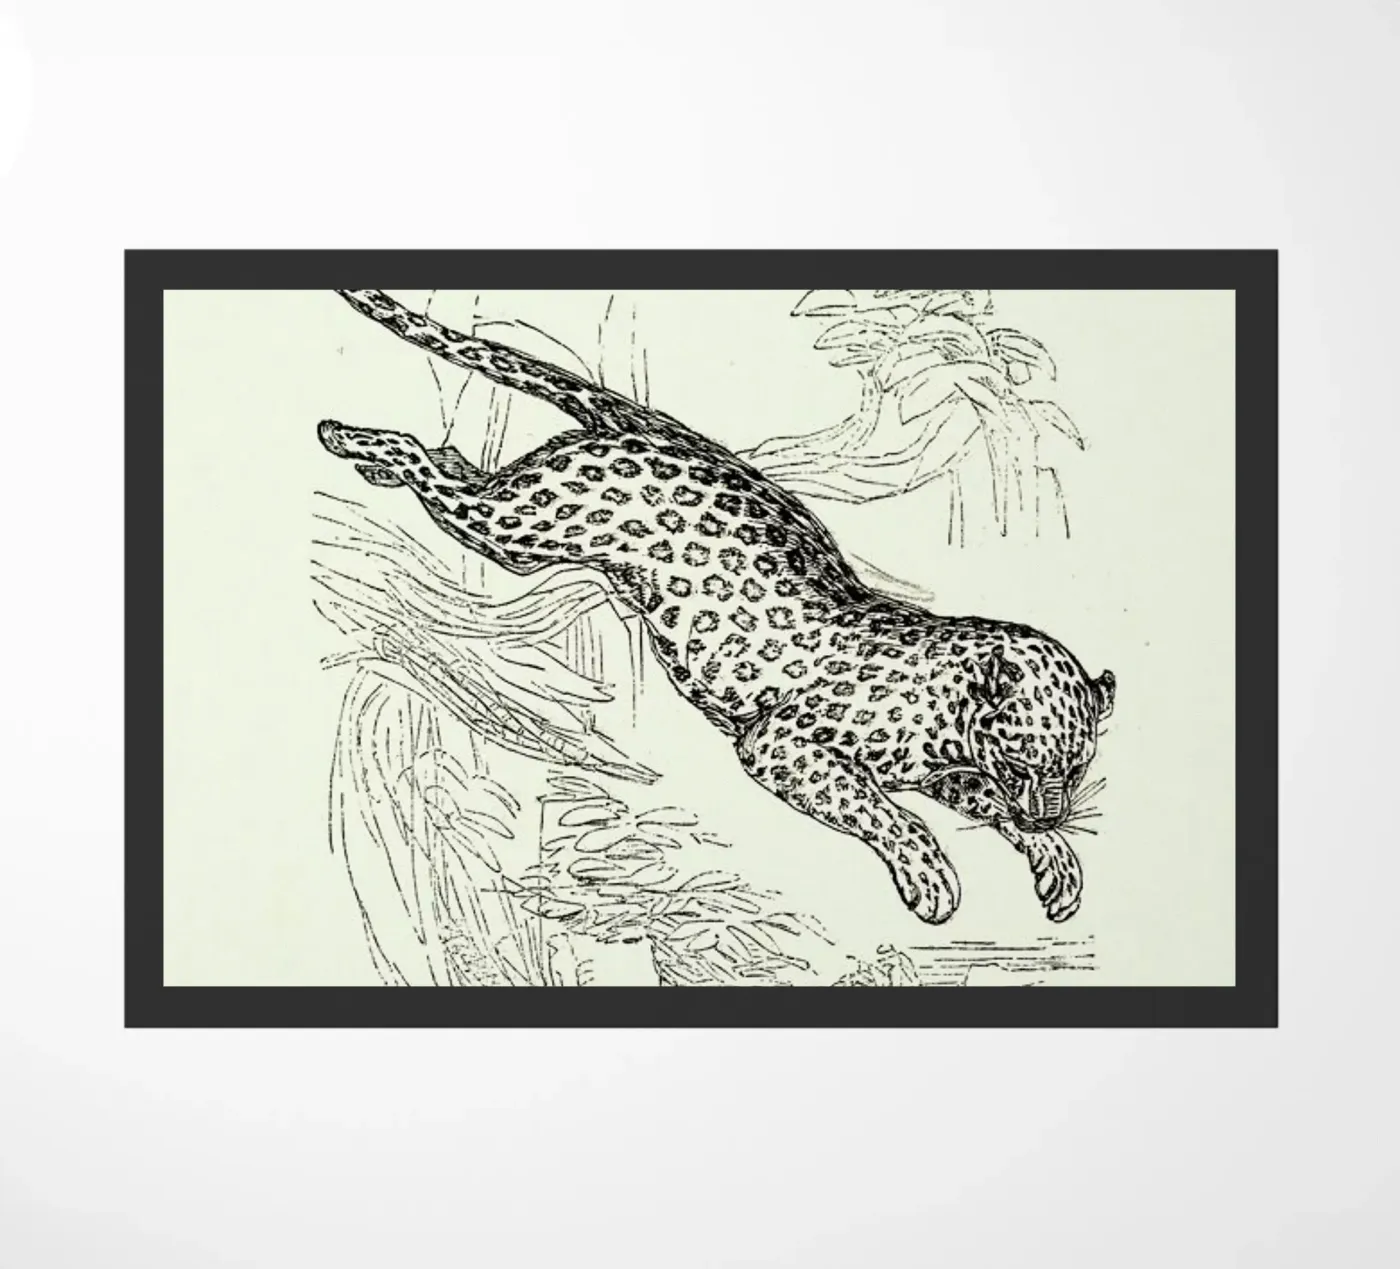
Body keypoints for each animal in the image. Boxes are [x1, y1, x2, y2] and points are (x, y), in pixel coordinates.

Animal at [317, 288, 1116, 925]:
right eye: (1023, 757)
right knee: (427, 460)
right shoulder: (779, 746)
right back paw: (349, 439)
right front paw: (931, 876)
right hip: (519, 523)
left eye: (1076, 767)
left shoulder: (951, 775)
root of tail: (639, 427)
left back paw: (371, 457)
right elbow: (881, 809)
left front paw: (1055, 861)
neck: (946, 717)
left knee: (452, 463)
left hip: (517, 531)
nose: (1051, 807)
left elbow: (980, 810)